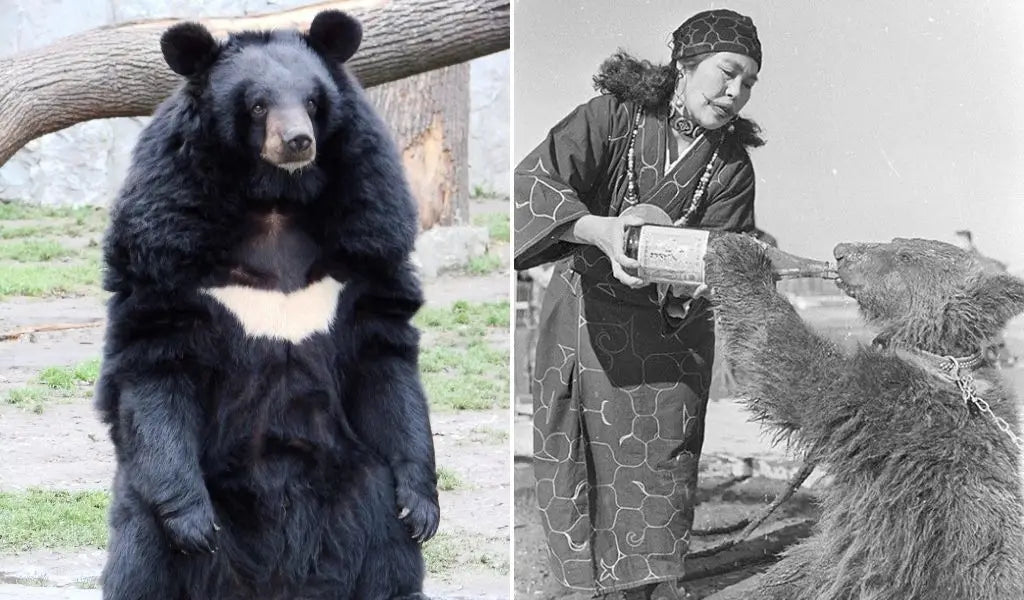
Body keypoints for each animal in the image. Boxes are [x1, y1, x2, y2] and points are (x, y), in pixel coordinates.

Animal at [94, 11, 438, 600]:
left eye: (313, 101)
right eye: (257, 105)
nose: (298, 141)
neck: (275, 196)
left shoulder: (370, 226)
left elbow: (383, 351)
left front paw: (421, 507)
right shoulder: (165, 231)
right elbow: (157, 352)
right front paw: (193, 525)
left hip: (356, 480)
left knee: (386, 547)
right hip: (157, 492)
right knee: (142, 551)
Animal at [704, 235, 1024, 600]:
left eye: (904, 255)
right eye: (897, 240)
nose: (841, 251)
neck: (942, 360)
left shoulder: (885, 410)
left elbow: (791, 365)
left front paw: (738, 255)